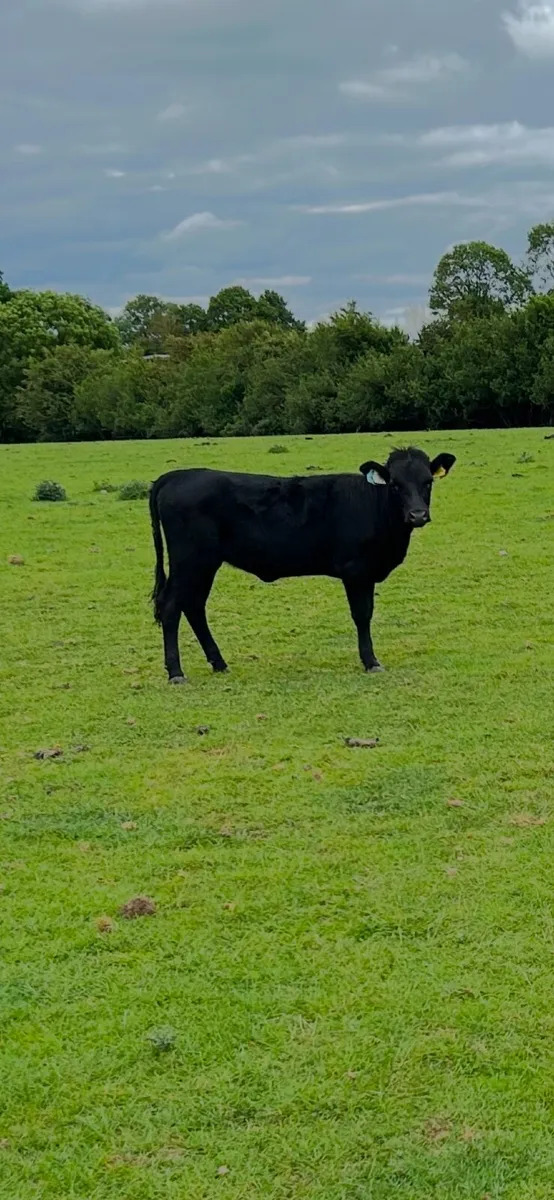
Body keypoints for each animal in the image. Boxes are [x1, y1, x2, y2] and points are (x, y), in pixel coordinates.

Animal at [149, 446, 456, 683]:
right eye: (395, 484)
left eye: (428, 482)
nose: (418, 515)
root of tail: (178, 475)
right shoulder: (356, 571)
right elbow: (362, 615)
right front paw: (371, 661)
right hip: (190, 561)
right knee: (172, 607)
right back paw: (176, 672)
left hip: (203, 564)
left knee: (193, 606)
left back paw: (219, 663)